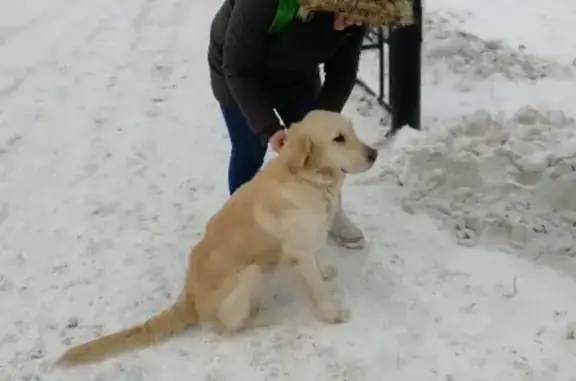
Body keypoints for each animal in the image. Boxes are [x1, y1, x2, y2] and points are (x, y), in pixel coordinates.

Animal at [54, 108, 378, 364]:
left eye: (352, 130)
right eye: (338, 139)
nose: (374, 154)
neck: (308, 179)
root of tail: (190, 299)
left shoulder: (308, 245)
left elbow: (318, 264)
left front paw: (324, 272)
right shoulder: (298, 251)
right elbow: (319, 292)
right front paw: (333, 315)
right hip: (251, 272)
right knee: (229, 327)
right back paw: (267, 317)